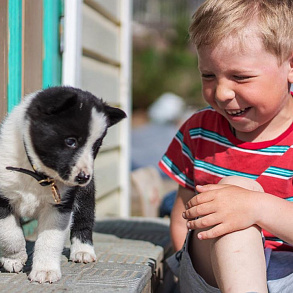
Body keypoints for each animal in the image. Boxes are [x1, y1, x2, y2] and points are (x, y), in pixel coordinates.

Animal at [0, 85, 125, 282]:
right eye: (70, 141)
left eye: (96, 147)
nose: (84, 177)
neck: (38, 174)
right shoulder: (3, 196)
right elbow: (9, 233)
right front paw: (14, 258)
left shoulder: (60, 206)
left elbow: (50, 239)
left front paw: (45, 270)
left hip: (85, 195)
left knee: (84, 221)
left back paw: (83, 250)